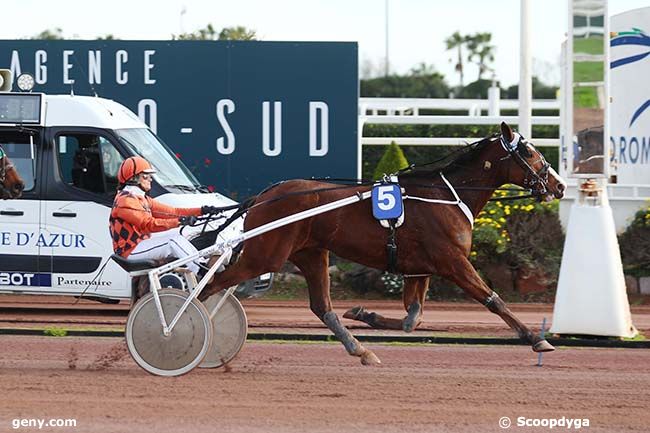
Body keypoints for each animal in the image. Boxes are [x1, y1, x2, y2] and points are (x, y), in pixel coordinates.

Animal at [200, 122, 564, 364]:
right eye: (529, 151)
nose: (559, 185)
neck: (448, 195)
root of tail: (263, 195)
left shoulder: (419, 269)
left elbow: (412, 320)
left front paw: (364, 313)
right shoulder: (453, 262)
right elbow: (494, 300)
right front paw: (536, 339)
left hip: (312, 253)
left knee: (322, 306)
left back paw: (361, 350)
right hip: (266, 255)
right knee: (211, 284)